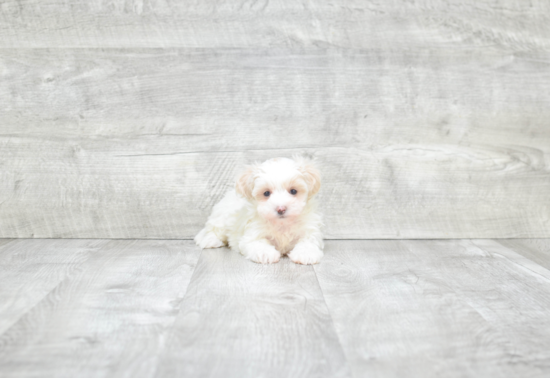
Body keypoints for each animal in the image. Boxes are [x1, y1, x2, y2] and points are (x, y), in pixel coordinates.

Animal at [195, 155, 326, 264]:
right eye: (266, 193)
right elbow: (258, 244)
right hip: (221, 219)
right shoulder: (252, 234)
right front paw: (266, 254)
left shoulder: (309, 230)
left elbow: (308, 241)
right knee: (213, 230)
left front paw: (306, 253)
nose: (281, 208)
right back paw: (210, 240)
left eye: (293, 191)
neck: (282, 224)